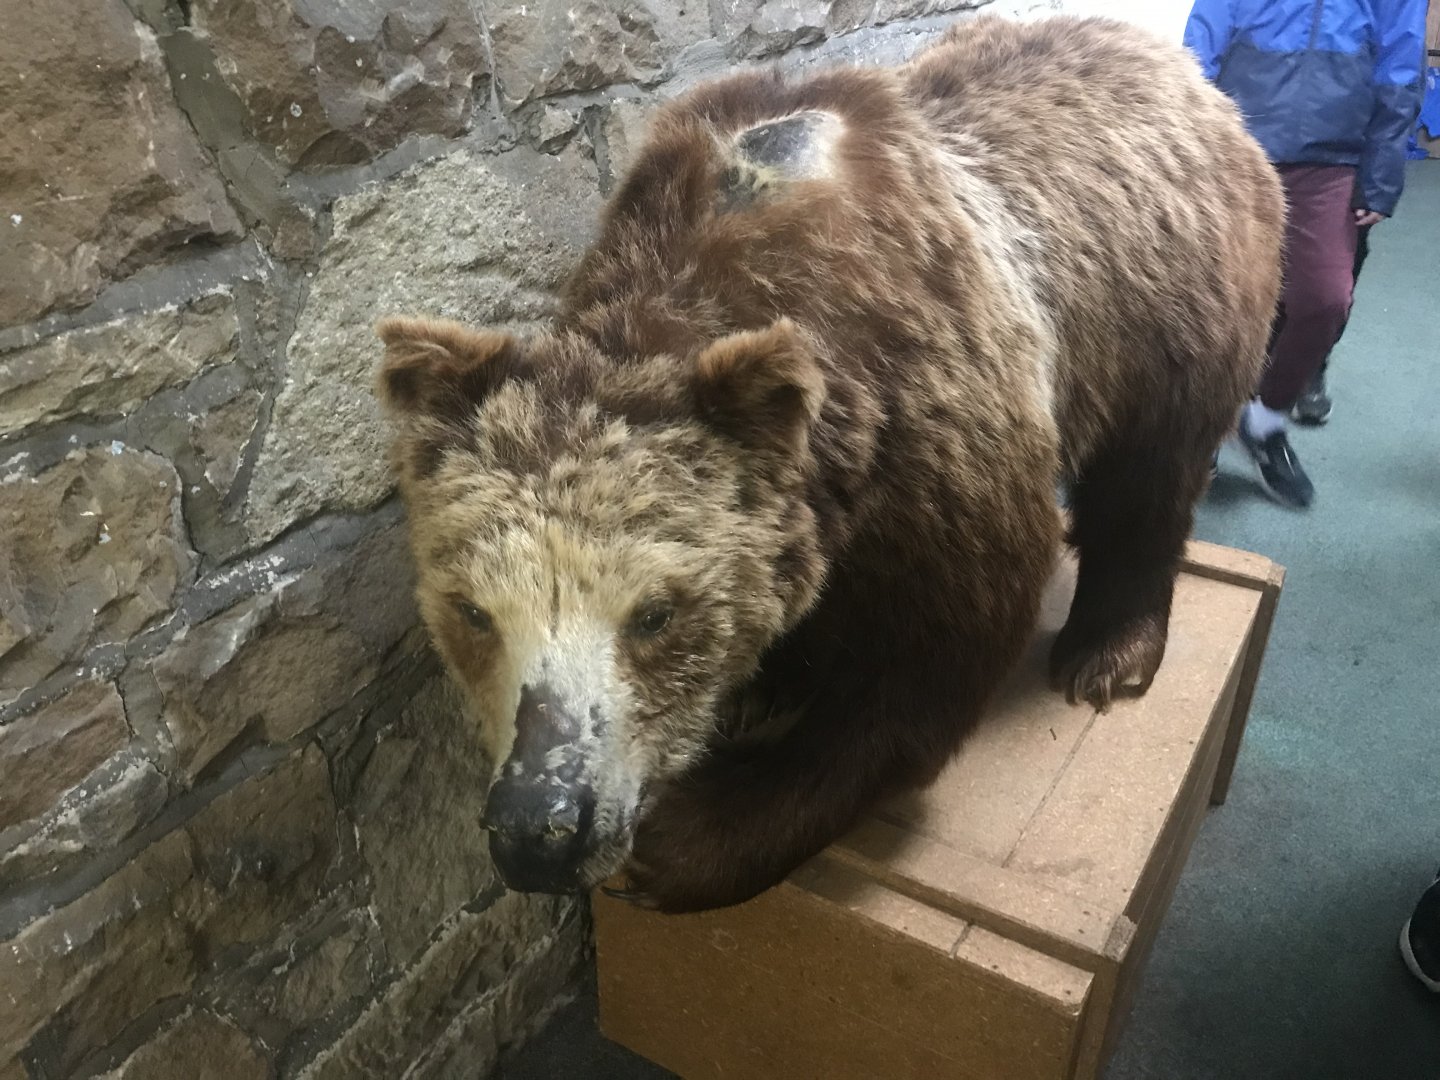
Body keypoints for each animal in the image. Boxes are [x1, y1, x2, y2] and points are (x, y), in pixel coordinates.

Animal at [373, 14, 1284, 914]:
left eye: (655, 614)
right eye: (471, 611)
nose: (542, 828)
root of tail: (1171, 61)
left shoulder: (928, 421)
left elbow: (919, 670)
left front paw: (693, 834)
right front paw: (762, 688)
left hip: (1168, 304)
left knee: (1150, 476)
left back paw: (1107, 652)